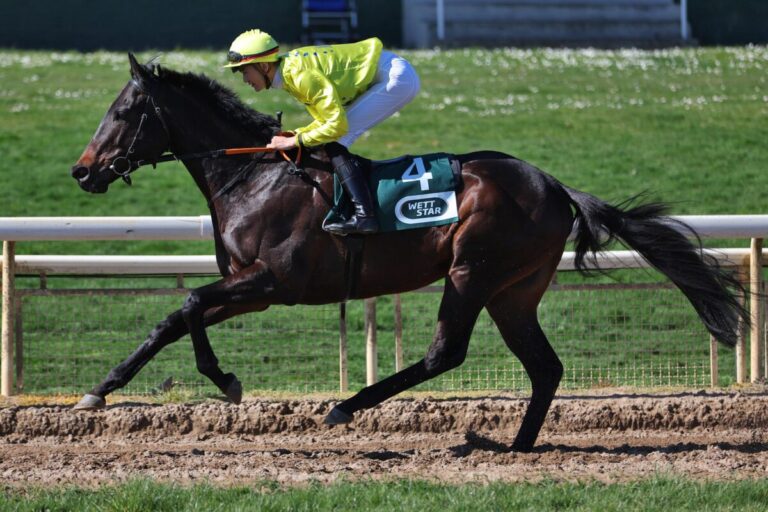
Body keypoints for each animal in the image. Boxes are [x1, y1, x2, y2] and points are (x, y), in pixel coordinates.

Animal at [69, 54, 747, 452]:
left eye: (124, 111)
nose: (81, 171)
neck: (253, 173)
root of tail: (555, 186)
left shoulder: (273, 281)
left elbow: (187, 303)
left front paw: (226, 381)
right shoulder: (249, 288)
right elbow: (170, 320)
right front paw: (99, 391)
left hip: (474, 270)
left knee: (446, 351)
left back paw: (346, 408)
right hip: (514, 290)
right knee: (545, 367)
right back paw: (517, 447)